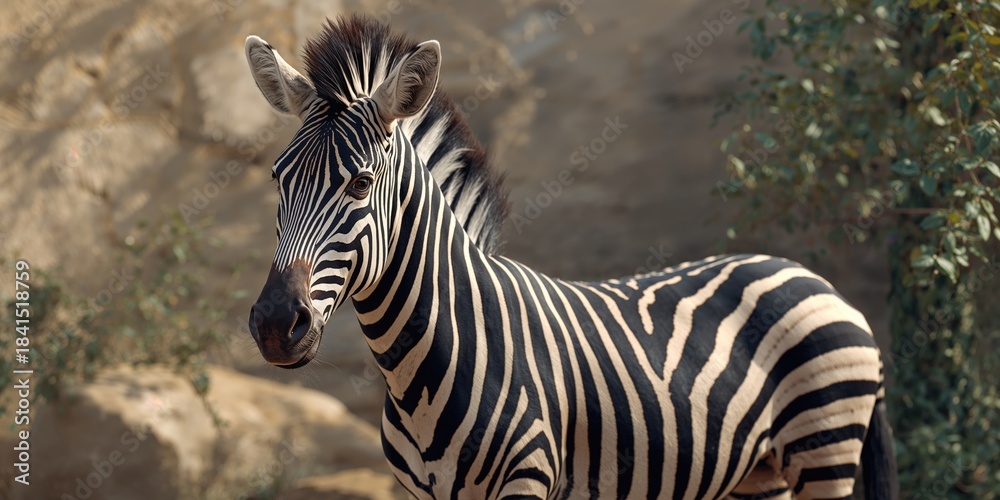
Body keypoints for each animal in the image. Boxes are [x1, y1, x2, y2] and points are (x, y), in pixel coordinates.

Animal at [243, 15, 898, 499]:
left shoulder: (529, 475)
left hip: (825, 445)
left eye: (359, 184)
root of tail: (810, 277)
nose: (275, 324)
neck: (422, 370)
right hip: (758, 475)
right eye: (277, 180)